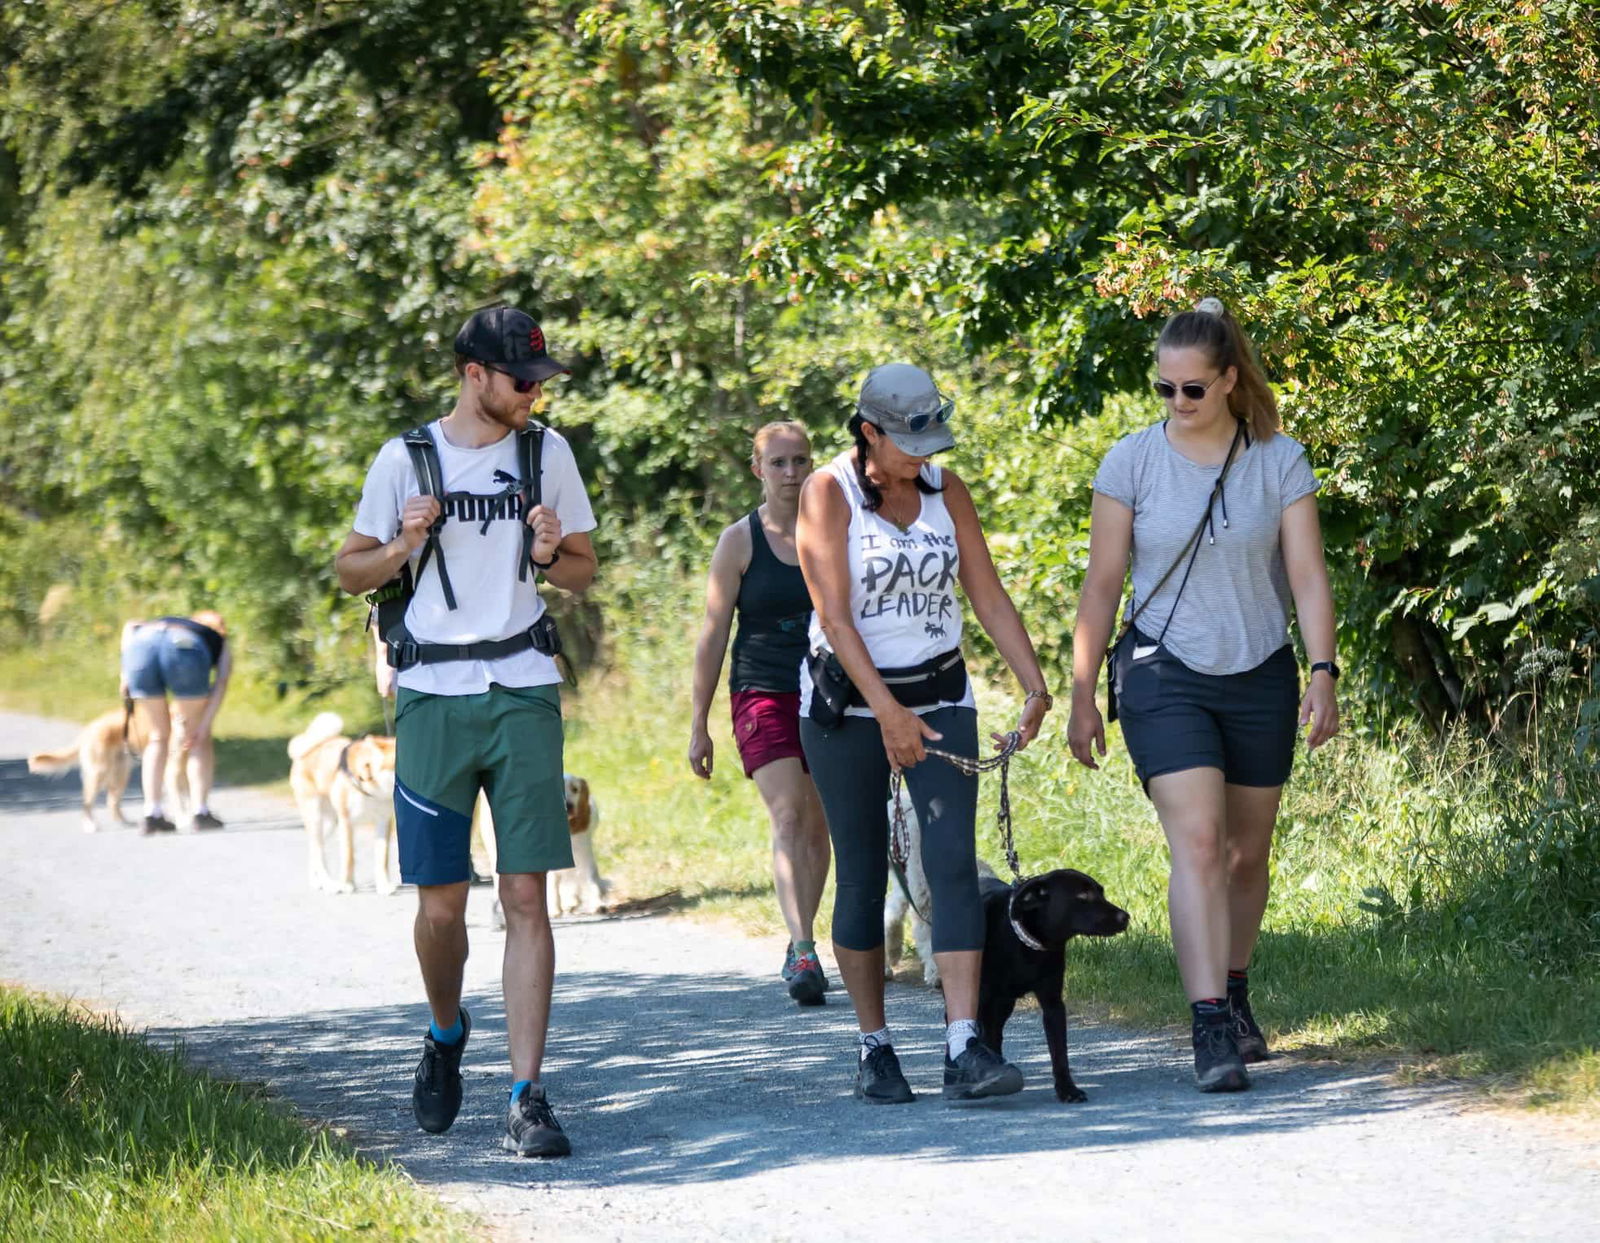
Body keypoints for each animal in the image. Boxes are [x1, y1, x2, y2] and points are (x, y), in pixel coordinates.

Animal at [28, 703, 190, 831]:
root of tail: (89, 728)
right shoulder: (171, 773)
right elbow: (178, 800)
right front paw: (183, 820)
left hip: (121, 774)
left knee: (111, 802)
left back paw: (126, 823)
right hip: (99, 774)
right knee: (87, 803)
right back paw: (90, 825)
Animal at [284, 707, 393, 889]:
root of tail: (311, 748)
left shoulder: (384, 820)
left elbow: (382, 858)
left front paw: (384, 886)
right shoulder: (346, 821)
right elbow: (349, 857)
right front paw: (347, 885)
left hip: (329, 824)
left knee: (314, 849)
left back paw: (316, 882)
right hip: (315, 816)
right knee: (319, 852)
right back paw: (329, 884)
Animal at [470, 771, 608, 927]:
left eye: (575, 789)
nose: (569, 805)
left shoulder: (585, 857)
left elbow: (592, 882)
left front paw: (598, 904)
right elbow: (553, 886)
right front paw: (555, 910)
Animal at [966, 870, 1132, 1100]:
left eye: (1101, 891)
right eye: (1083, 895)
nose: (1125, 917)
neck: (1026, 944)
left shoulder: (1053, 1004)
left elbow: (1059, 1052)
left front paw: (1067, 1090)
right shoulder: (978, 999)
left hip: (1004, 1004)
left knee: (995, 1034)